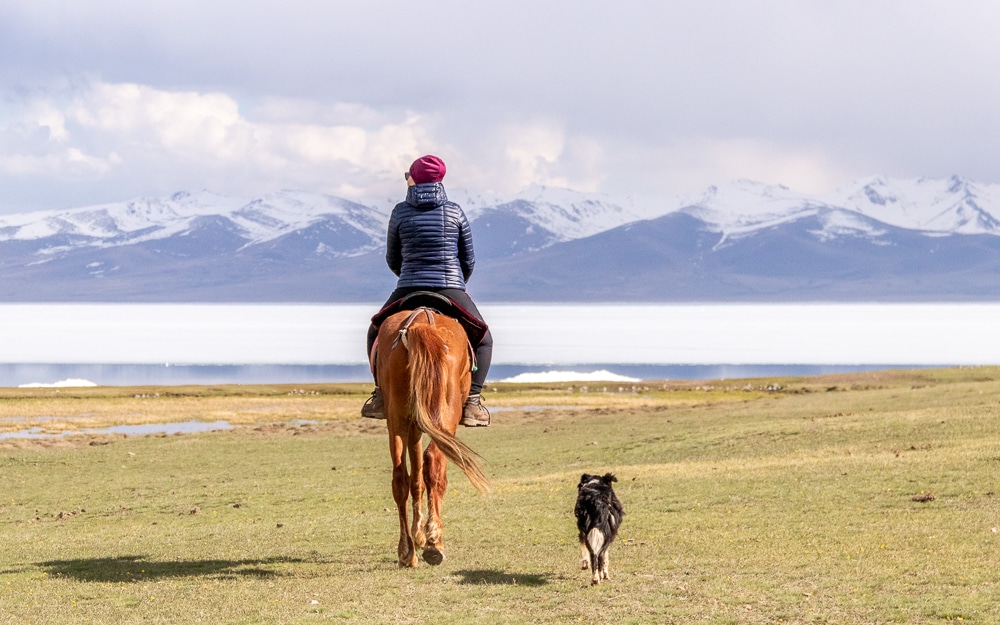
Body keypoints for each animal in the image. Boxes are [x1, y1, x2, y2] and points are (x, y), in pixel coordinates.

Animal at [376, 308, 492, 564]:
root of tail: (421, 322)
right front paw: (425, 536)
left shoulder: (414, 426)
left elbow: (415, 479)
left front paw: (417, 534)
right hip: (445, 416)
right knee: (434, 463)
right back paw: (433, 543)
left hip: (397, 417)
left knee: (400, 476)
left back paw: (407, 551)